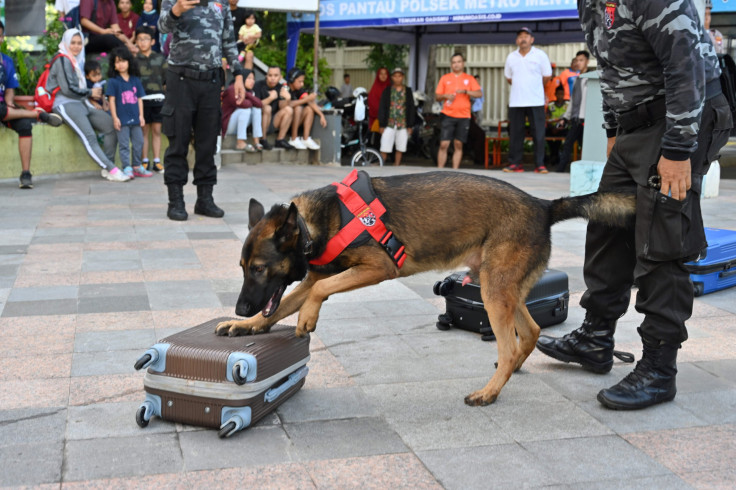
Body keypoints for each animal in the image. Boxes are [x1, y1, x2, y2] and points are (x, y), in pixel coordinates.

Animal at [216, 172, 636, 406]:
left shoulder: (376, 268)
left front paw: (306, 318)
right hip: (502, 287)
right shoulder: (314, 277)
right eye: (242, 269)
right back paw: (512, 368)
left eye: (259, 269)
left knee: (508, 342)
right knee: (529, 332)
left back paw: (490, 392)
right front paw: (246, 326)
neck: (315, 221)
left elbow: (315, 296)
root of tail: (543, 205)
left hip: (493, 292)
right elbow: (282, 305)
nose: (240, 308)